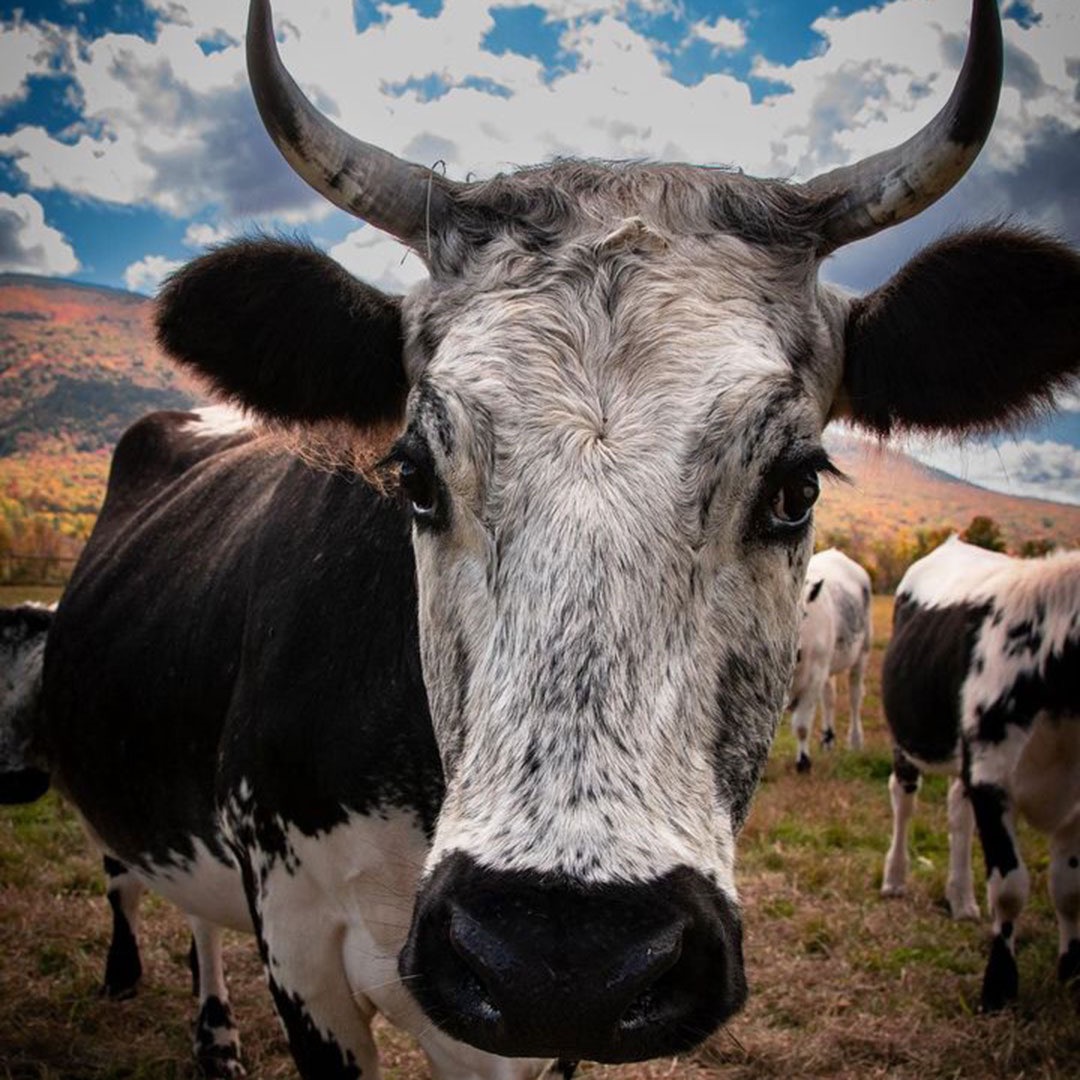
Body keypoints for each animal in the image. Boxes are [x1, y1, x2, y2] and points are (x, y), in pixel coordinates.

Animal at [787, 548, 872, 771]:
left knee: (855, 697)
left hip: (862, 653)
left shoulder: (815, 677)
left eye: (804, 615)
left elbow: (801, 726)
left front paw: (803, 762)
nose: (795, 652)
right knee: (829, 699)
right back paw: (828, 739)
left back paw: (855, 741)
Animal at [880, 536, 1080, 1011]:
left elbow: (1068, 889)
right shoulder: (992, 777)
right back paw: (895, 878)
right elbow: (1010, 887)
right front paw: (999, 986)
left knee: (957, 811)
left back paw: (961, 898)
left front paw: (1070, 971)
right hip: (909, 738)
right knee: (904, 799)